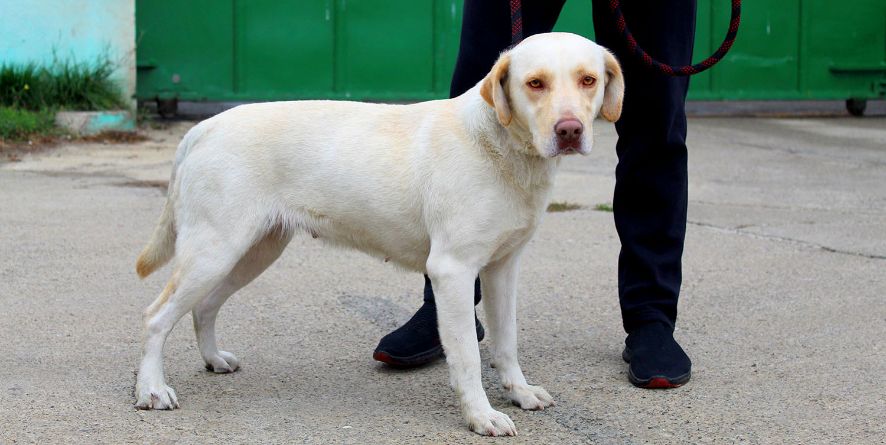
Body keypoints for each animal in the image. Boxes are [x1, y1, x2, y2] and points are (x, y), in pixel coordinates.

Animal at [137, 33, 624, 436]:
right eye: (535, 83)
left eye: (588, 80)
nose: (569, 131)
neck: (501, 147)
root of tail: (204, 127)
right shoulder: (452, 271)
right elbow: (468, 355)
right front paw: (481, 415)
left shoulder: (503, 269)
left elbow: (506, 343)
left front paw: (519, 393)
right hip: (215, 250)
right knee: (157, 316)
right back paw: (151, 390)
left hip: (252, 252)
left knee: (203, 306)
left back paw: (213, 360)